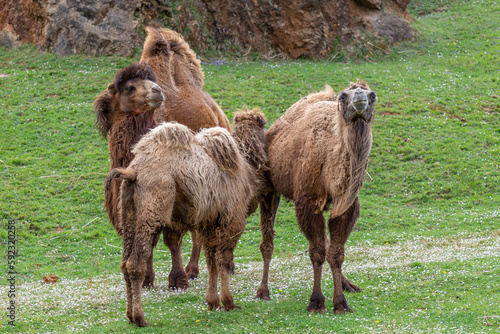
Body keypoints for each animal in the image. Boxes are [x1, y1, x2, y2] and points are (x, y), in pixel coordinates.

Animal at [106, 109, 270, 326]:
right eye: (264, 125)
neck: (246, 168)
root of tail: (134, 172)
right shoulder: (231, 220)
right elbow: (224, 260)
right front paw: (229, 302)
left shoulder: (210, 223)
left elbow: (211, 261)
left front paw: (212, 302)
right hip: (153, 206)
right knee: (136, 263)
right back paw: (141, 318)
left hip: (128, 212)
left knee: (125, 263)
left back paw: (130, 316)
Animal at [256, 80, 376, 314]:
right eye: (343, 96)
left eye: (372, 95)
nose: (359, 96)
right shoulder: (307, 201)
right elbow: (317, 252)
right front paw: (317, 302)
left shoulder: (345, 205)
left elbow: (336, 253)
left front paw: (340, 303)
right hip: (269, 187)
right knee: (268, 240)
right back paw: (263, 291)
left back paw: (348, 285)